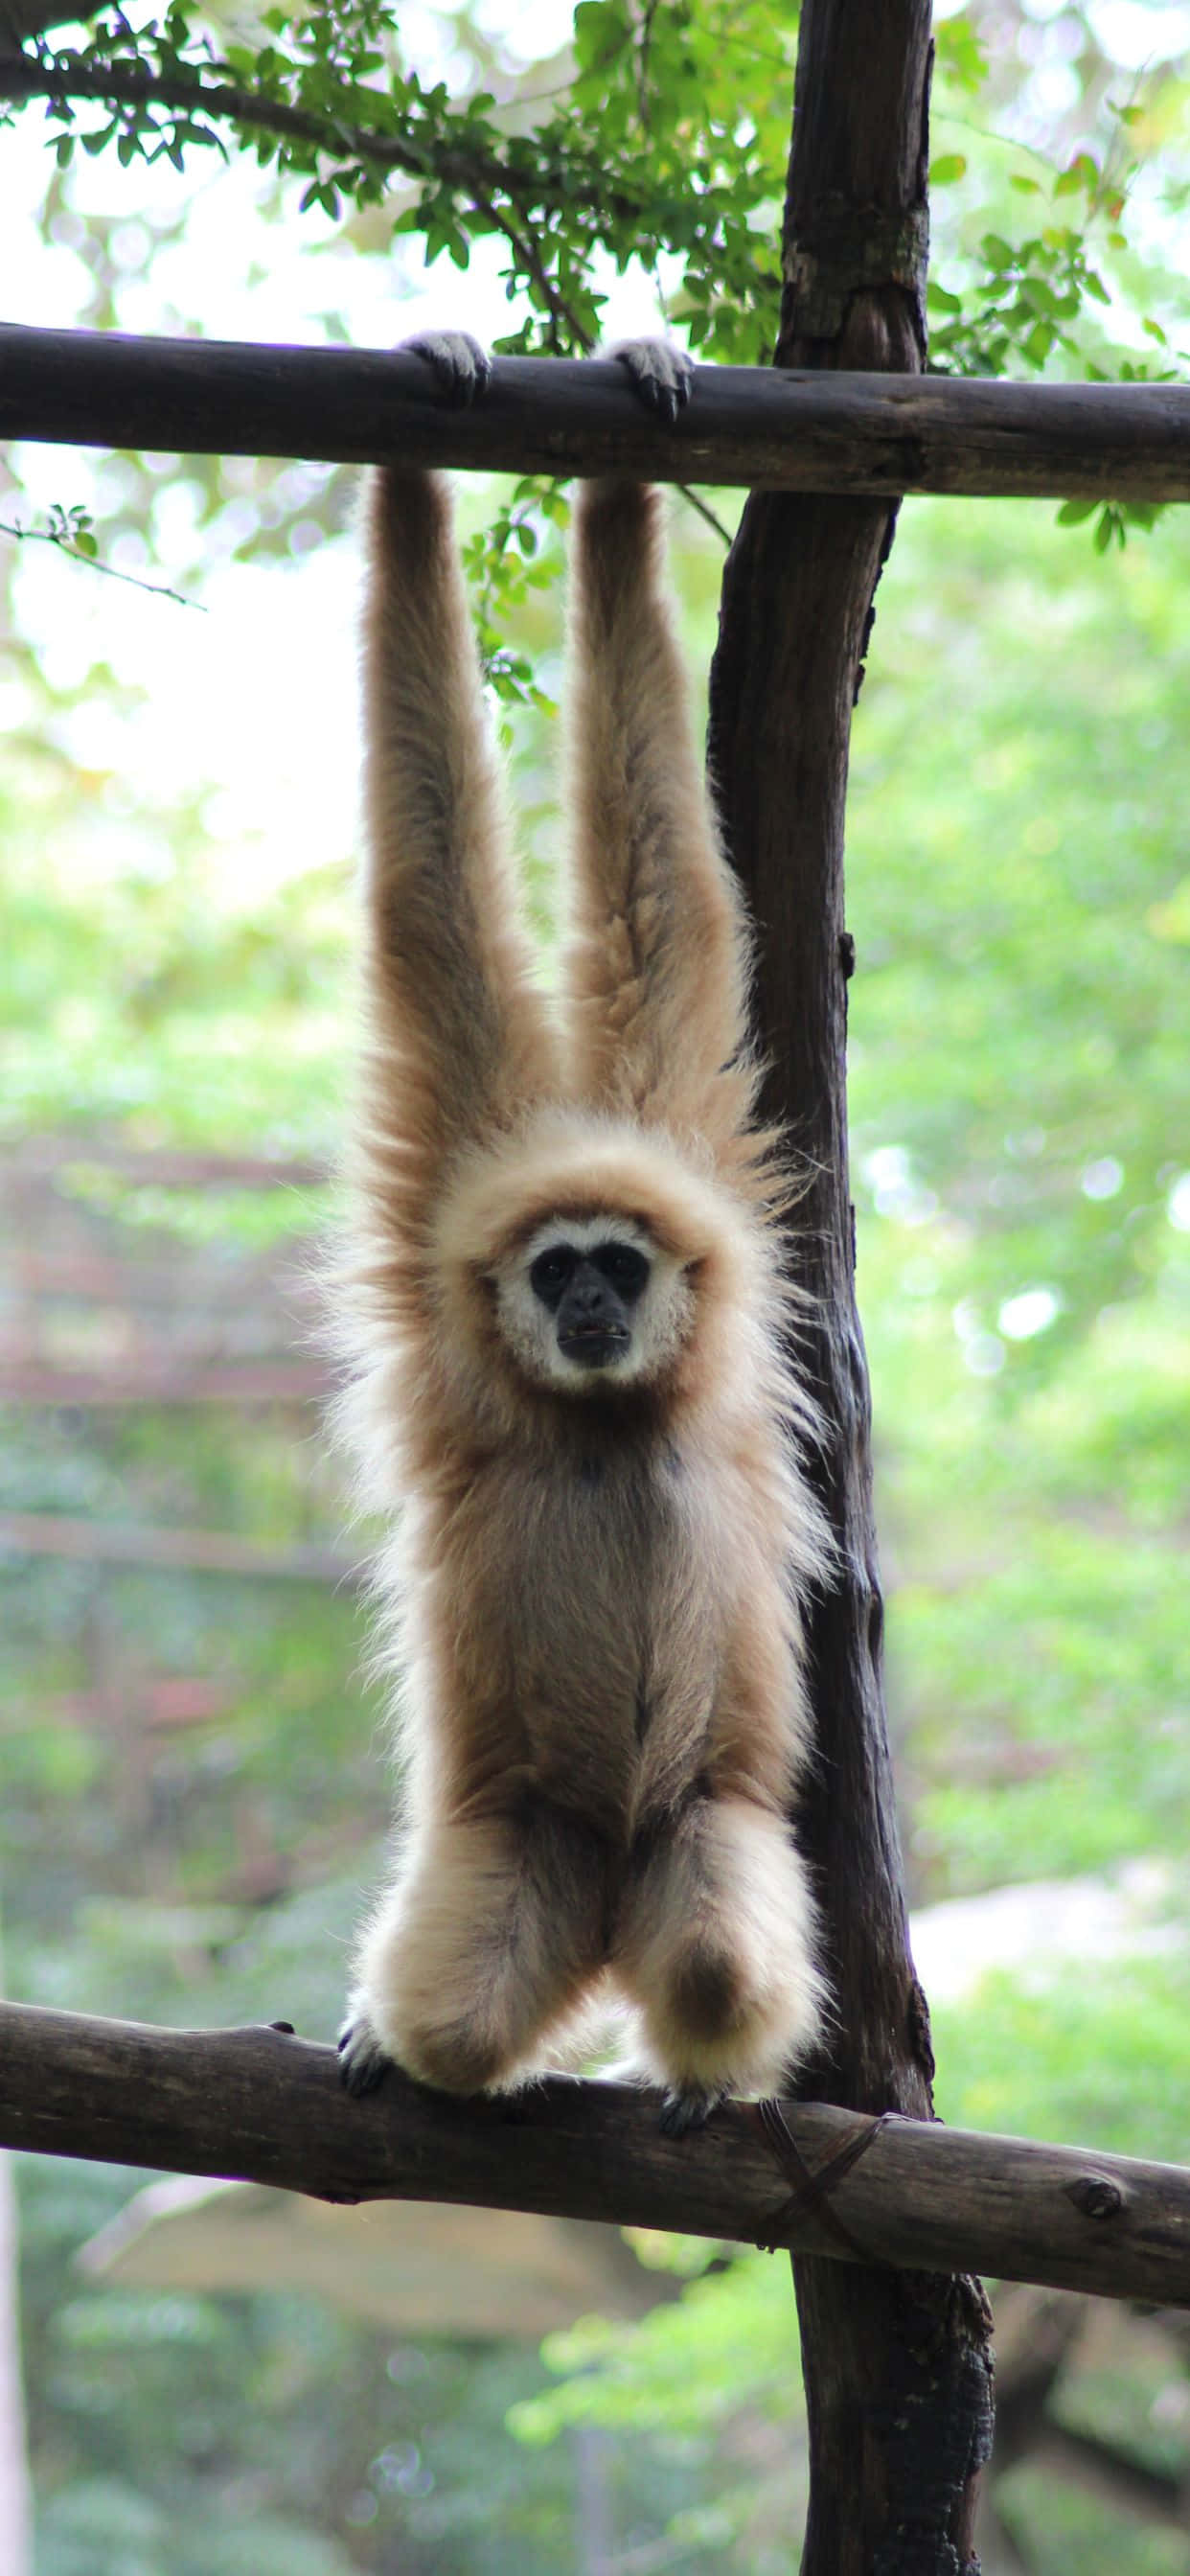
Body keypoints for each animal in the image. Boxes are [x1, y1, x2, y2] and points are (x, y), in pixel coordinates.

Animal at [335, 332, 832, 2135]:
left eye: (617, 1264)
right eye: (558, 1272)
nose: (594, 1307)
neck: (607, 1411)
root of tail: (609, 1897)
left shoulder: (682, 1149)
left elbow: (657, 900)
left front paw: (620, 471)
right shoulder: (445, 1244)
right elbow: (430, 908)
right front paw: (421, 448)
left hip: (692, 1833)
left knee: (720, 1951)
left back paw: (692, 2061)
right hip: (520, 1841)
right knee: (466, 2000)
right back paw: (415, 2031)